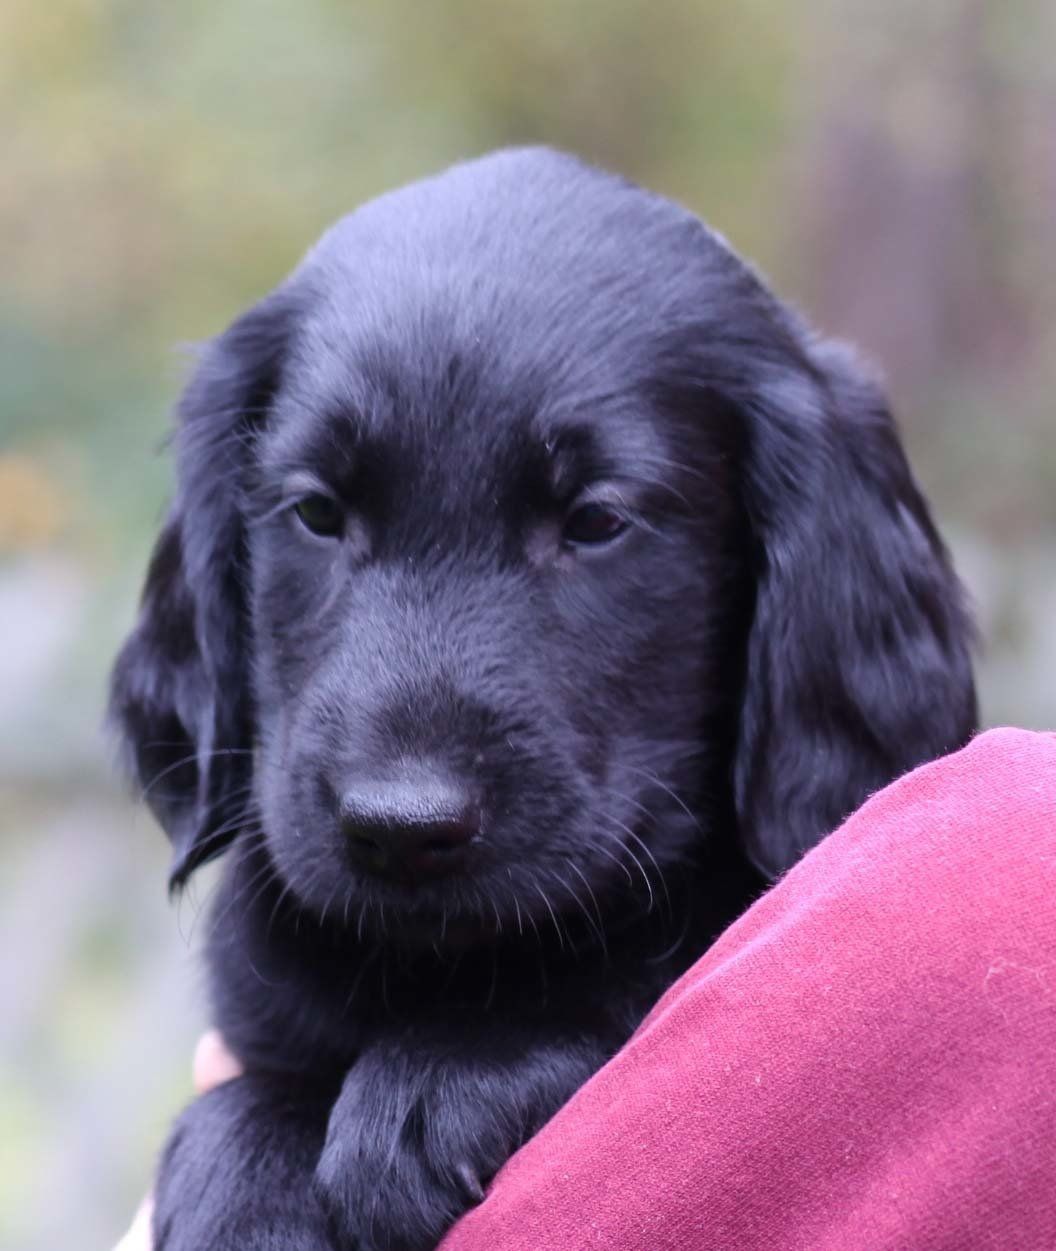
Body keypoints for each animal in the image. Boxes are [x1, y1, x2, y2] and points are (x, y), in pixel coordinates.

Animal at [110, 147, 976, 1251]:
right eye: (315, 512)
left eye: (597, 521)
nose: (401, 828)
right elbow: (243, 1099)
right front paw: (247, 1186)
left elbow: (648, 984)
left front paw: (448, 1071)